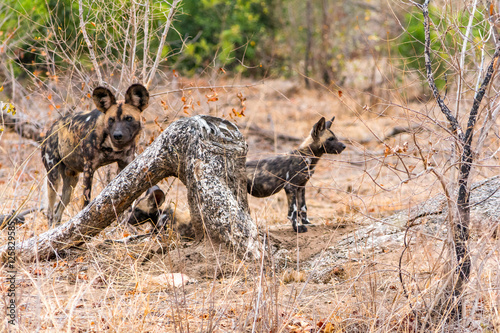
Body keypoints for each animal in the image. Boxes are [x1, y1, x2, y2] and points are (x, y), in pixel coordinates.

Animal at [41, 83, 149, 226]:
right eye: (111, 120)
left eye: (129, 118)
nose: (117, 135)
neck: (112, 146)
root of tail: (51, 128)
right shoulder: (89, 168)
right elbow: (86, 202)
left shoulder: (125, 164)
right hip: (53, 178)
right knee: (50, 212)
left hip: (71, 181)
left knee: (58, 212)